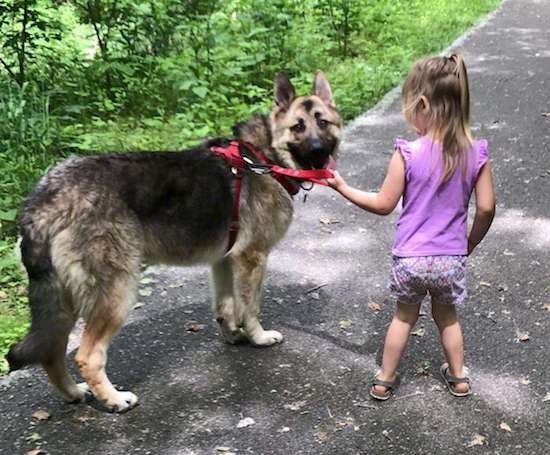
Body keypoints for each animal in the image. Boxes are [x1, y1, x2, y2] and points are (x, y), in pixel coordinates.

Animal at [6, 71, 342, 414]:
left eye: (323, 122)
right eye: (298, 127)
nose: (319, 150)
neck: (262, 156)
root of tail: (46, 198)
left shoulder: (224, 261)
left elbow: (226, 306)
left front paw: (232, 335)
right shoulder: (252, 259)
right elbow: (250, 306)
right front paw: (258, 337)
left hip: (65, 301)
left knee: (51, 352)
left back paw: (74, 393)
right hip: (116, 293)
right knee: (86, 356)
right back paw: (114, 399)